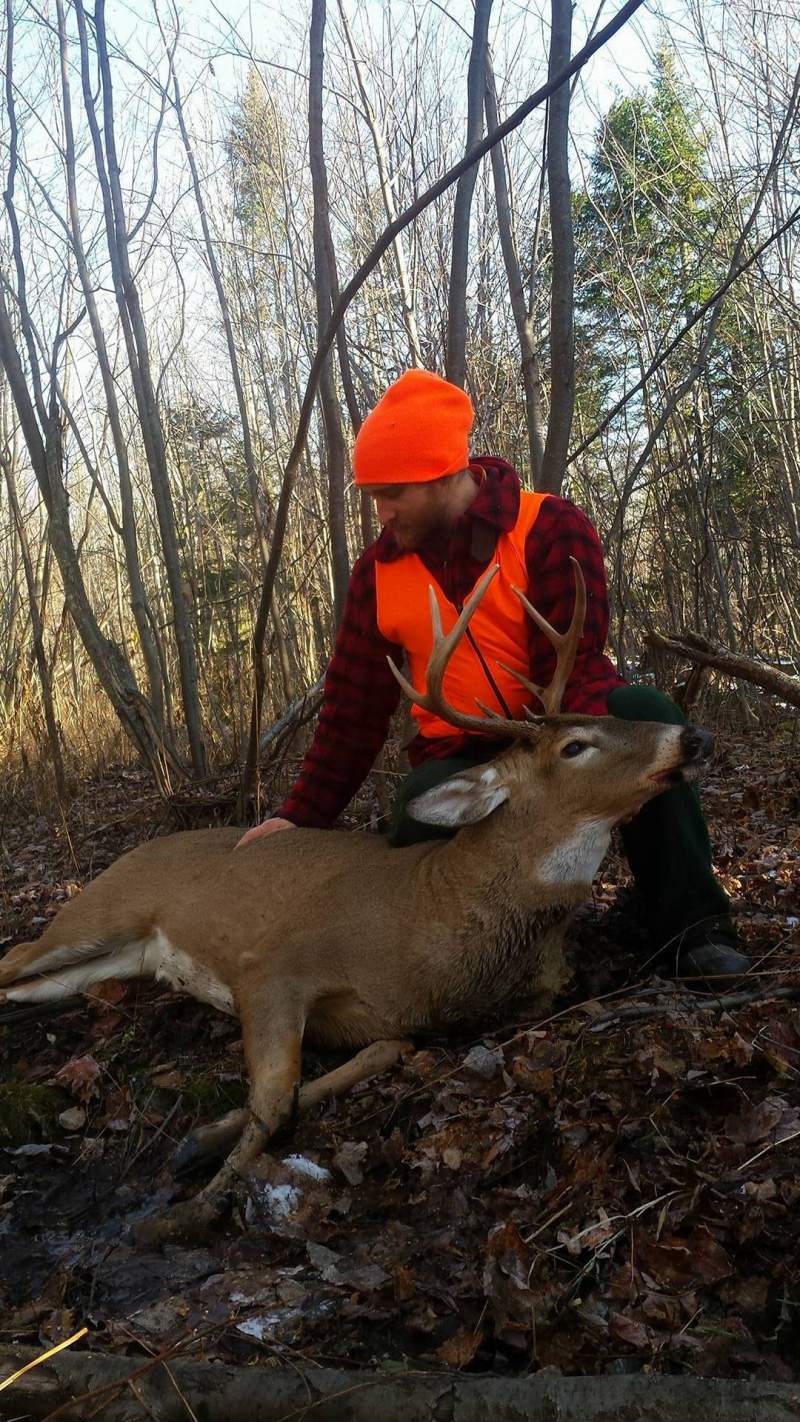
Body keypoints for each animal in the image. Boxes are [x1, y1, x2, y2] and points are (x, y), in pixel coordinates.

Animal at [0, 560, 713, 1239]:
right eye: (575, 746)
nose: (694, 738)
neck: (435, 913)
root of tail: (131, 852)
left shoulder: (397, 1022)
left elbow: (362, 1061)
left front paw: (201, 1143)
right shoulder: (273, 965)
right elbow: (273, 1098)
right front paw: (187, 1210)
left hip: (121, 958)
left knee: (26, 984)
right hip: (100, 911)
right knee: (15, 954)